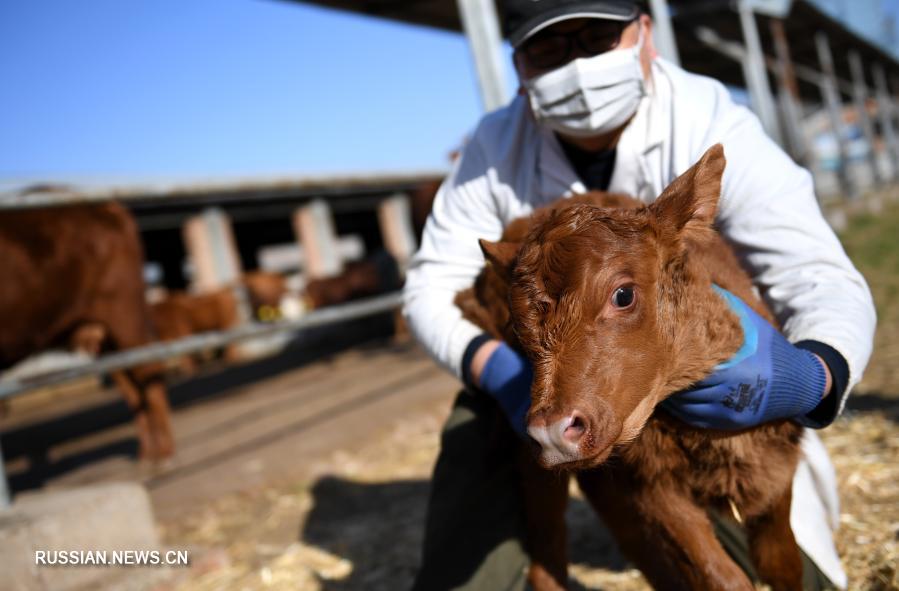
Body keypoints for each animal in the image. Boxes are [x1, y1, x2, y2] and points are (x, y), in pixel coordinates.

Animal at [0, 204, 174, 462]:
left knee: (149, 371)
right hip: (107, 341)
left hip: (126, 315)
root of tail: (110, 207)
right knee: (130, 385)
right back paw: (147, 453)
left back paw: (165, 452)